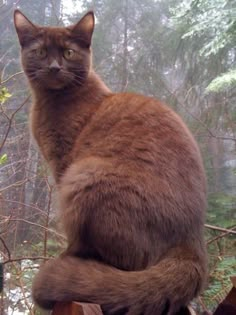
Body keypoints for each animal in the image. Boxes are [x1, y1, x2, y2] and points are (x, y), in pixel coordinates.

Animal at [14, 9, 206, 315]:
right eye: (41, 51)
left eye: (68, 52)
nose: (55, 67)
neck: (52, 102)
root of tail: (193, 241)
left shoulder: (63, 163)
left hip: (85, 175)